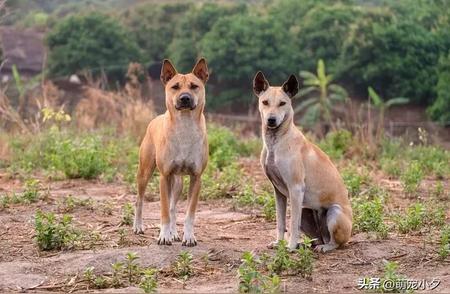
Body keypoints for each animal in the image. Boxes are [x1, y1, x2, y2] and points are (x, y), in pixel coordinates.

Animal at [134, 58, 209, 247]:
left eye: (194, 86)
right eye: (175, 87)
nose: (185, 98)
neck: (184, 124)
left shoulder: (196, 177)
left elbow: (189, 213)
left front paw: (188, 237)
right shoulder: (164, 176)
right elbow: (164, 211)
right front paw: (164, 236)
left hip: (178, 182)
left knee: (174, 207)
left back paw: (174, 232)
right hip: (144, 172)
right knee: (140, 200)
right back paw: (138, 227)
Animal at [253, 72, 352, 253]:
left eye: (282, 103)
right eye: (265, 102)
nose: (271, 120)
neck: (276, 141)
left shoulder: (295, 189)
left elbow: (292, 223)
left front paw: (290, 246)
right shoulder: (278, 192)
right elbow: (280, 222)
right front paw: (279, 243)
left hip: (334, 212)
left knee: (335, 242)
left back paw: (324, 247)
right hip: (306, 211)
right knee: (318, 238)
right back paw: (308, 244)